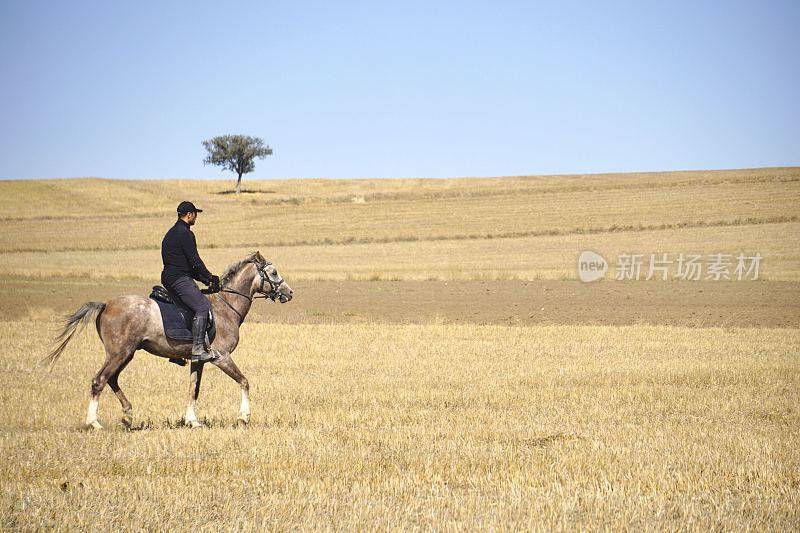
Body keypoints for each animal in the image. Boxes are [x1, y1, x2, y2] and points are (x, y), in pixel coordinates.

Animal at [43, 251, 294, 430]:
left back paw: (128, 416)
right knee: (99, 381)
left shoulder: (198, 360)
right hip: (120, 353)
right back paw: (94, 423)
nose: (289, 293)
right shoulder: (222, 357)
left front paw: (192, 421)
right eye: (273, 273)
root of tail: (106, 304)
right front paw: (243, 417)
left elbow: (193, 389)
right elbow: (244, 382)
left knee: (111, 379)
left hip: (126, 354)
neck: (225, 306)